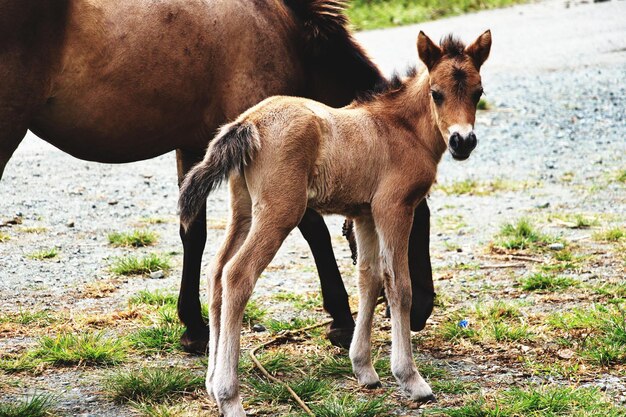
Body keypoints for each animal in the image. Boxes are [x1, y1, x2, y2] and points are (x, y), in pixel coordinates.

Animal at [0, 0, 434, 352]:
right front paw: (341, 319)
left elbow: (193, 233)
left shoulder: (197, 146)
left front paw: (193, 327)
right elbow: (314, 231)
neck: (284, 29)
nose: (421, 311)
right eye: (418, 222)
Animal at [178, 30, 490, 416]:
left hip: (245, 209)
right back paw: (229, 397)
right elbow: (399, 285)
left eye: (478, 92)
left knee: (217, 271)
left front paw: (365, 369)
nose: (463, 142)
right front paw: (411, 379)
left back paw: (211, 384)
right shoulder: (393, 208)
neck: (400, 129)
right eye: (437, 93)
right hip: (279, 211)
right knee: (237, 275)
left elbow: (369, 278)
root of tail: (247, 123)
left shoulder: (365, 214)